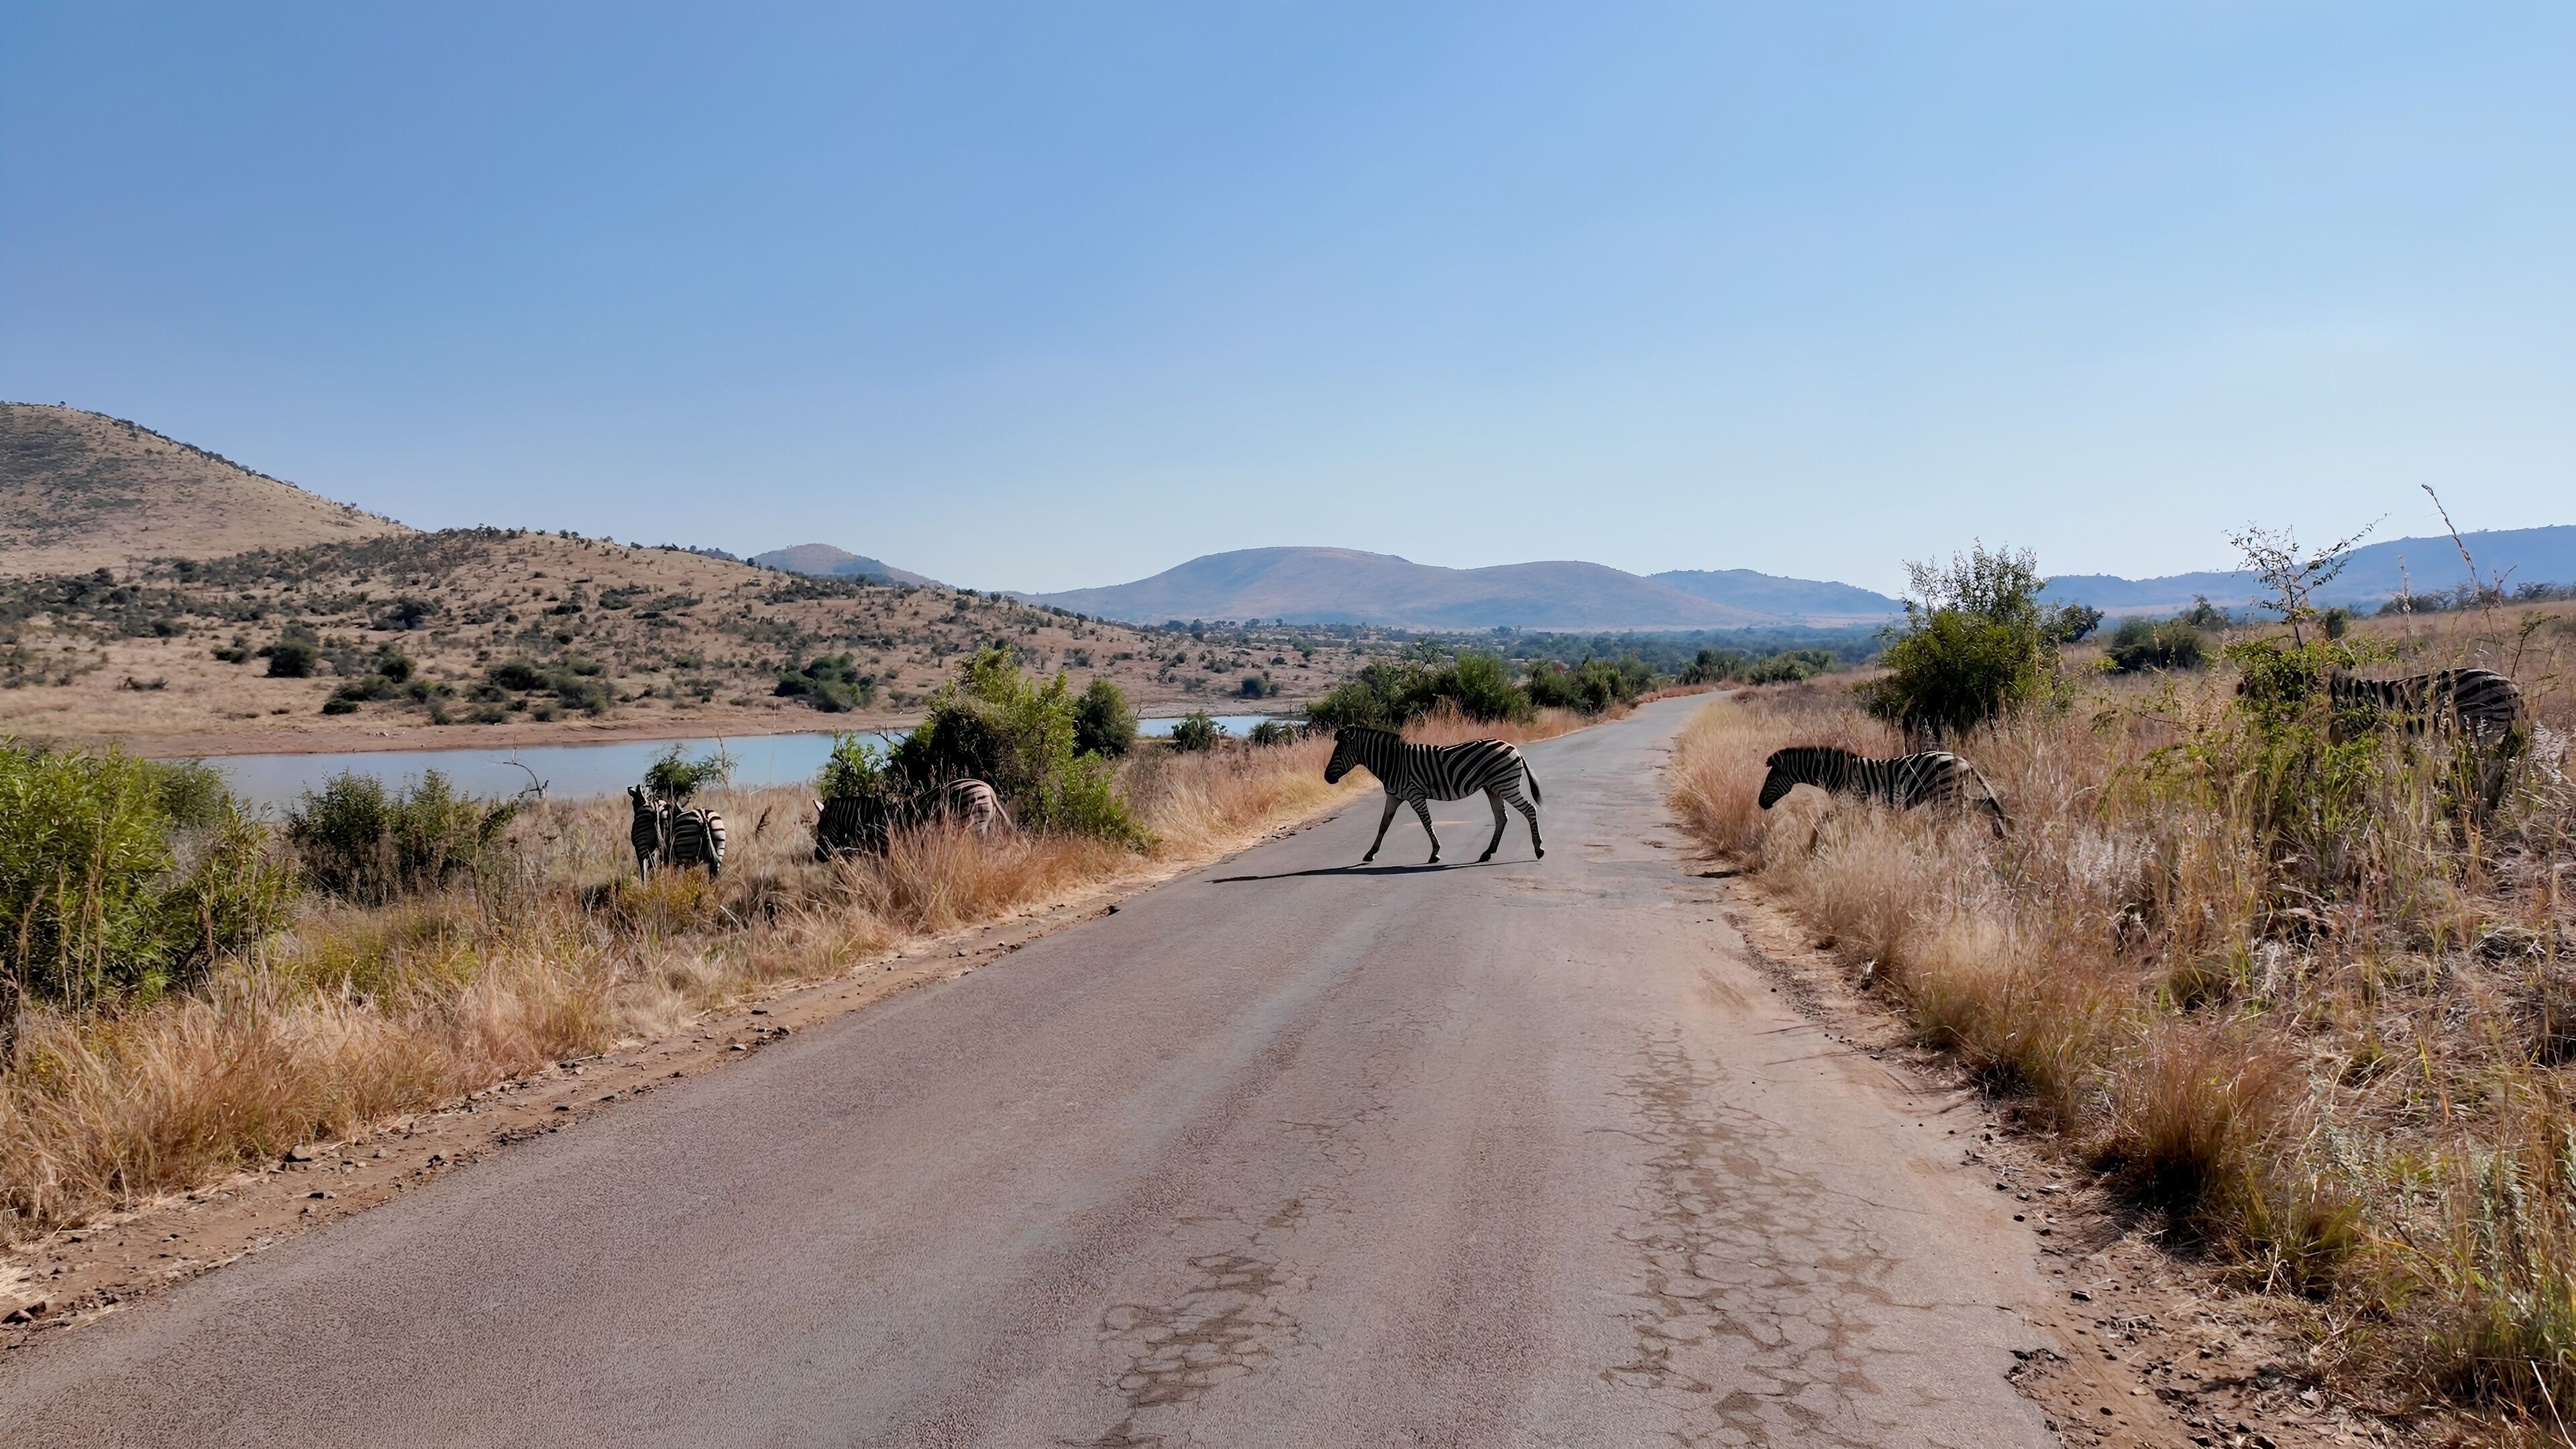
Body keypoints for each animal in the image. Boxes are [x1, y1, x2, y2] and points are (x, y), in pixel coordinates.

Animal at [1322, 726, 1542, 865]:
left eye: (1338, 752)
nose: (1326, 778)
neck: (1392, 763)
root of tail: (1514, 748)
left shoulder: (1415, 794)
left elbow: (1426, 822)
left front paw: (1435, 853)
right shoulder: (1394, 797)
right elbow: (1384, 825)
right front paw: (1370, 854)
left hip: (1506, 785)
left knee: (1529, 810)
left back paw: (1538, 849)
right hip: (1493, 788)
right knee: (1501, 818)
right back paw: (1487, 853)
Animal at [1757, 746, 2008, 837]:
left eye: (1771, 779)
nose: (1760, 803)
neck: (1838, 772)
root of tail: (1964, 761)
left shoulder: (1853, 801)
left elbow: (1823, 820)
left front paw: (1809, 848)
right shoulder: (1859, 804)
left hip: (1944, 796)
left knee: (1961, 816)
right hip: (1954, 795)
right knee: (1985, 805)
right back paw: (1999, 834)